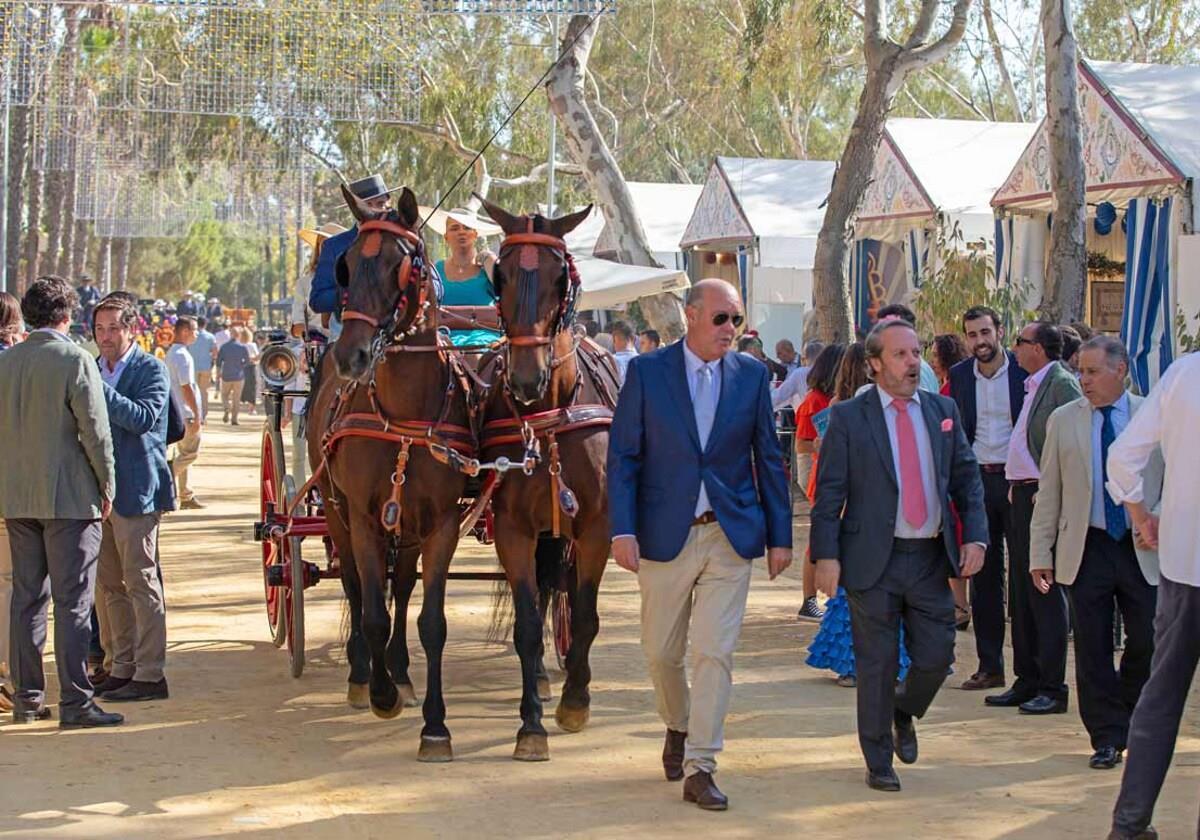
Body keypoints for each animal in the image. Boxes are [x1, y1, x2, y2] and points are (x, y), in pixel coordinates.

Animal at [304, 183, 472, 763]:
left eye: (404, 267)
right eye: (346, 266)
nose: (353, 355)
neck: (403, 415)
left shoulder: (441, 523)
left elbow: (430, 622)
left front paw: (436, 726)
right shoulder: (362, 516)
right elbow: (371, 610)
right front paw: (377, 693)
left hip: (409, 527)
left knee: (401, 587)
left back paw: (398, 672)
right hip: (336, 512)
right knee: (356, 587)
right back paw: (363, 675)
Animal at [472, 196, 619, 763]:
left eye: (562, 277)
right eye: (501, 275)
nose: (525, 378)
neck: (549, 416)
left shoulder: (596, 527)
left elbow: (584, 613)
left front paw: (575, 702)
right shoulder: (513, 529)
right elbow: (529, 623)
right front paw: (530, 725)